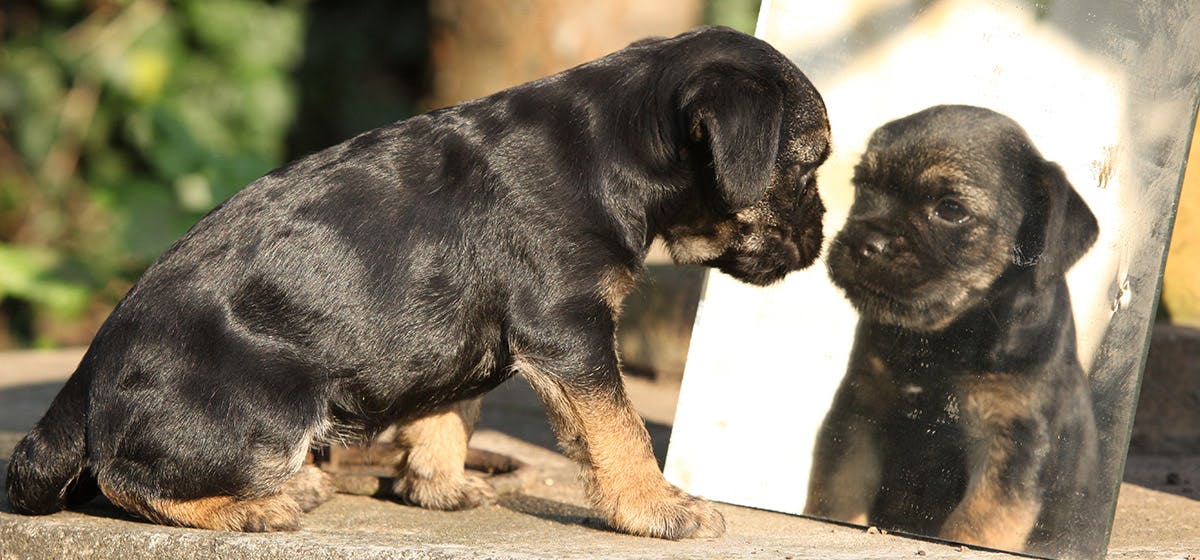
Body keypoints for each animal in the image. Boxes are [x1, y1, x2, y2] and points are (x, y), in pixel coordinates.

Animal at [4, 27, 830, 539]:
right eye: (810, 165)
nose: (822, 241)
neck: (613, 145)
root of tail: (85, 377)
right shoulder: (571, 331)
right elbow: (619, 429)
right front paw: (656, 507)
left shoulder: (468, 332)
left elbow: (448, 410)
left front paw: (436, 485)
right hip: (270, 410)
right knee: (124, 478)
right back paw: (257, 507)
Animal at [806, 105, 1099, 556]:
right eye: (862, 186)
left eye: (950, 209)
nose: (864, 243)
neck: (947, 343)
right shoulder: (859, 412)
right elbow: (837, 493)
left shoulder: (1011, 444)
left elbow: (975, 525)